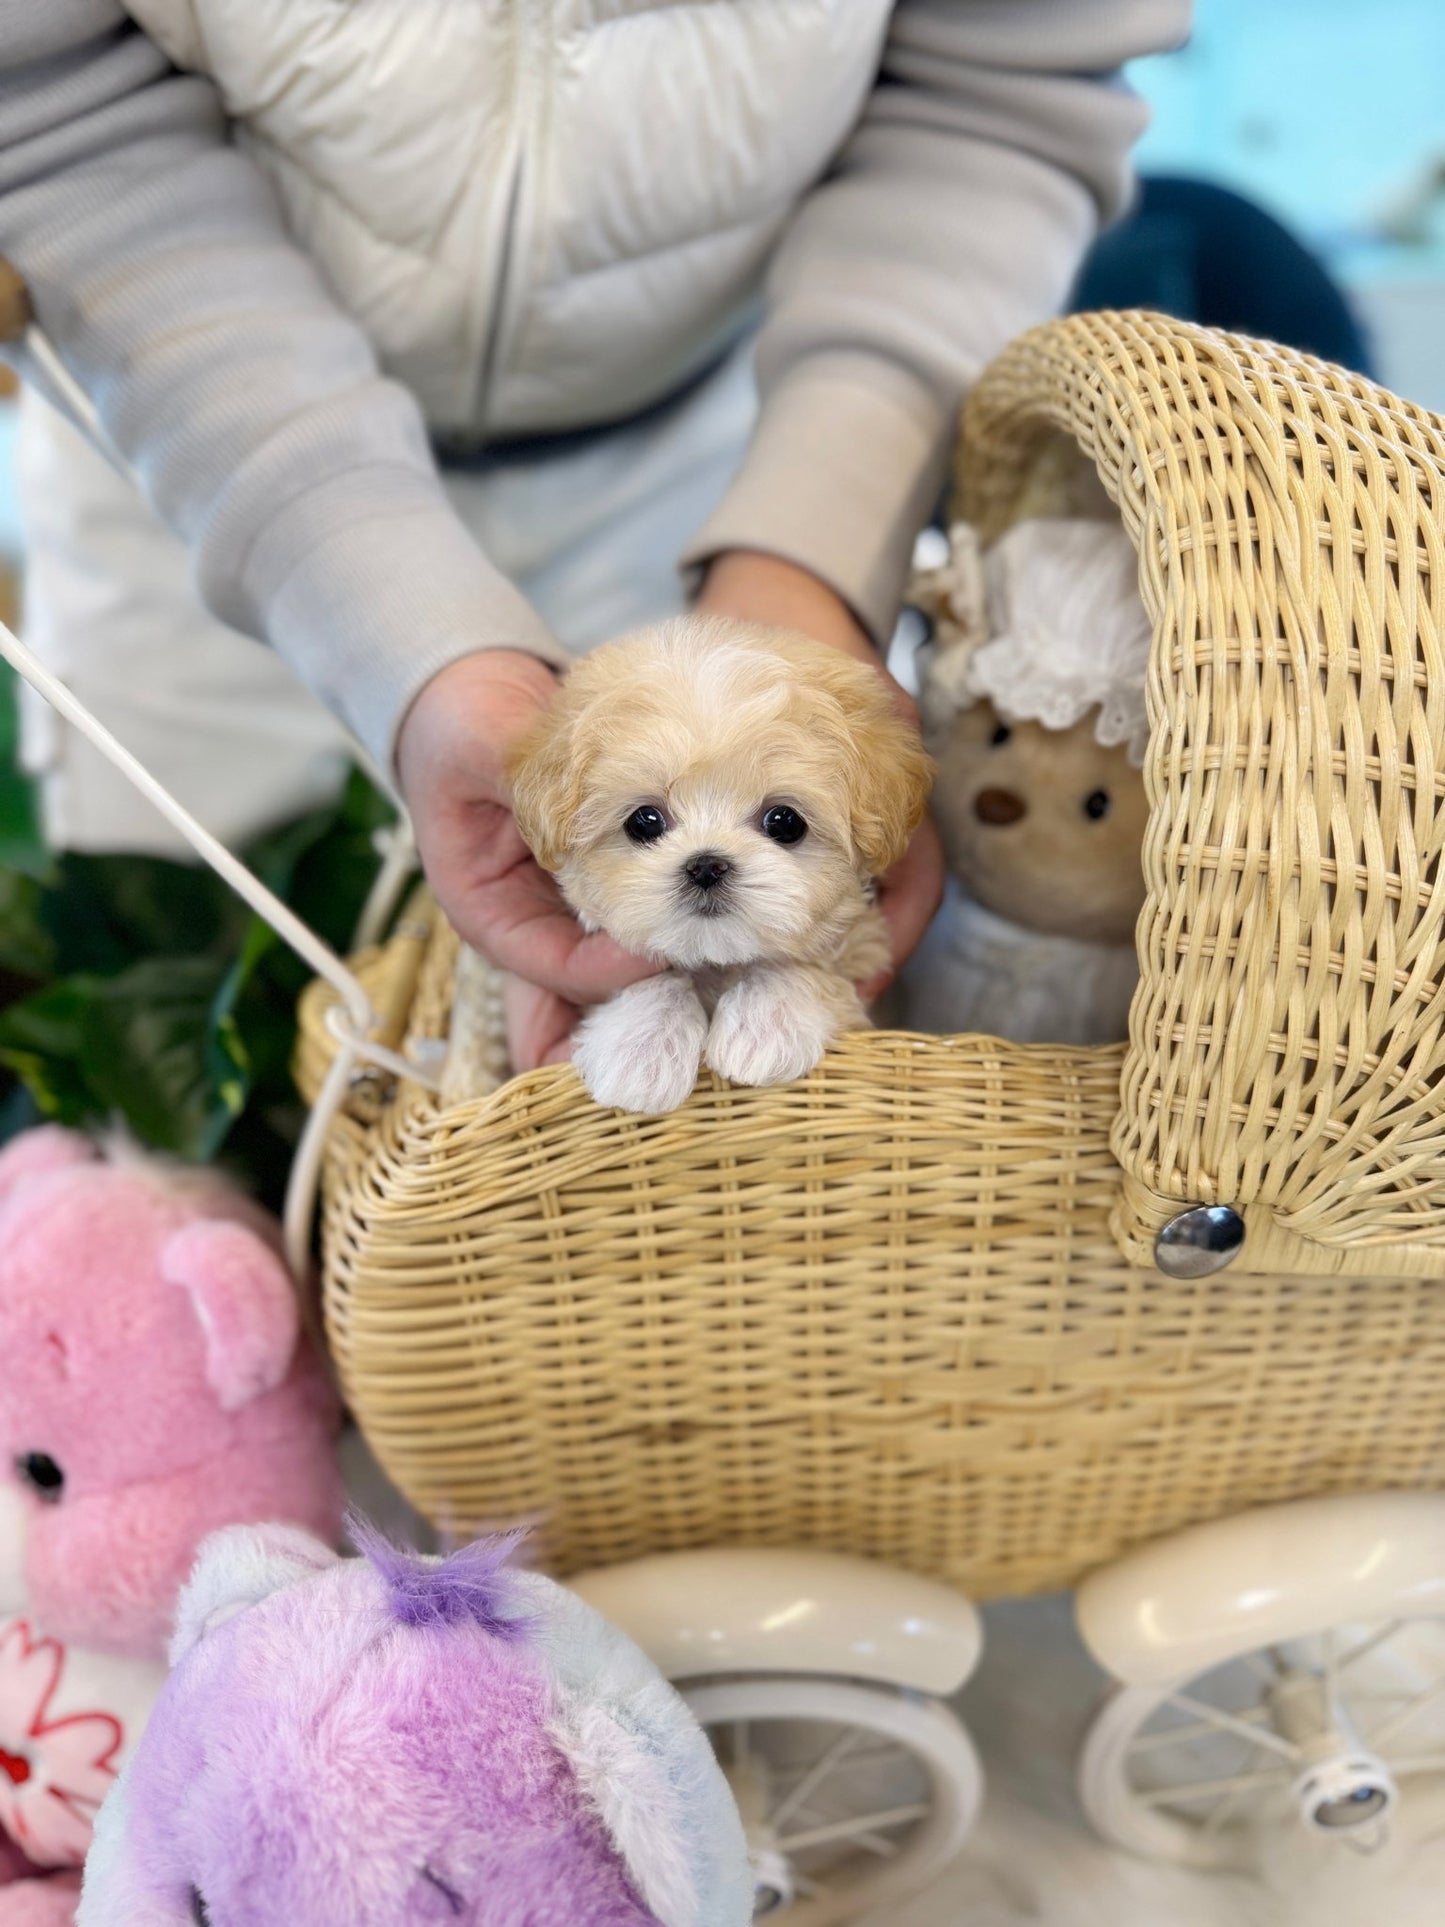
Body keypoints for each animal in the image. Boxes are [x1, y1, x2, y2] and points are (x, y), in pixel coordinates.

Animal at [516, 624, 932, 1117]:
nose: (706, 865)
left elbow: (797, 963)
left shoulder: (864, 950)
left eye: (784, 822)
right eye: (644, 821)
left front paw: (764, 1028)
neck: (716, 959)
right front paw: (640, 1048)